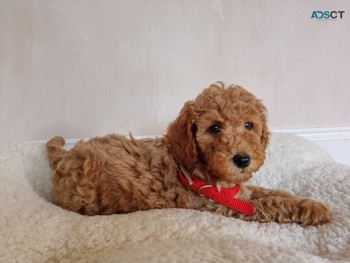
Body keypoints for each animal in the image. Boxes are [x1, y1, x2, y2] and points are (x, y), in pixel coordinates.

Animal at [46, 82, 330, 227]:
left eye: (249, 125)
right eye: (214, 128)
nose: (242, 159)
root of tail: (64, 157)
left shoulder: (239, 193)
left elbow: (270, 193)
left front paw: (307, 202)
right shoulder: (221, 205)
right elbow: (270, 203)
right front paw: (313, 209)